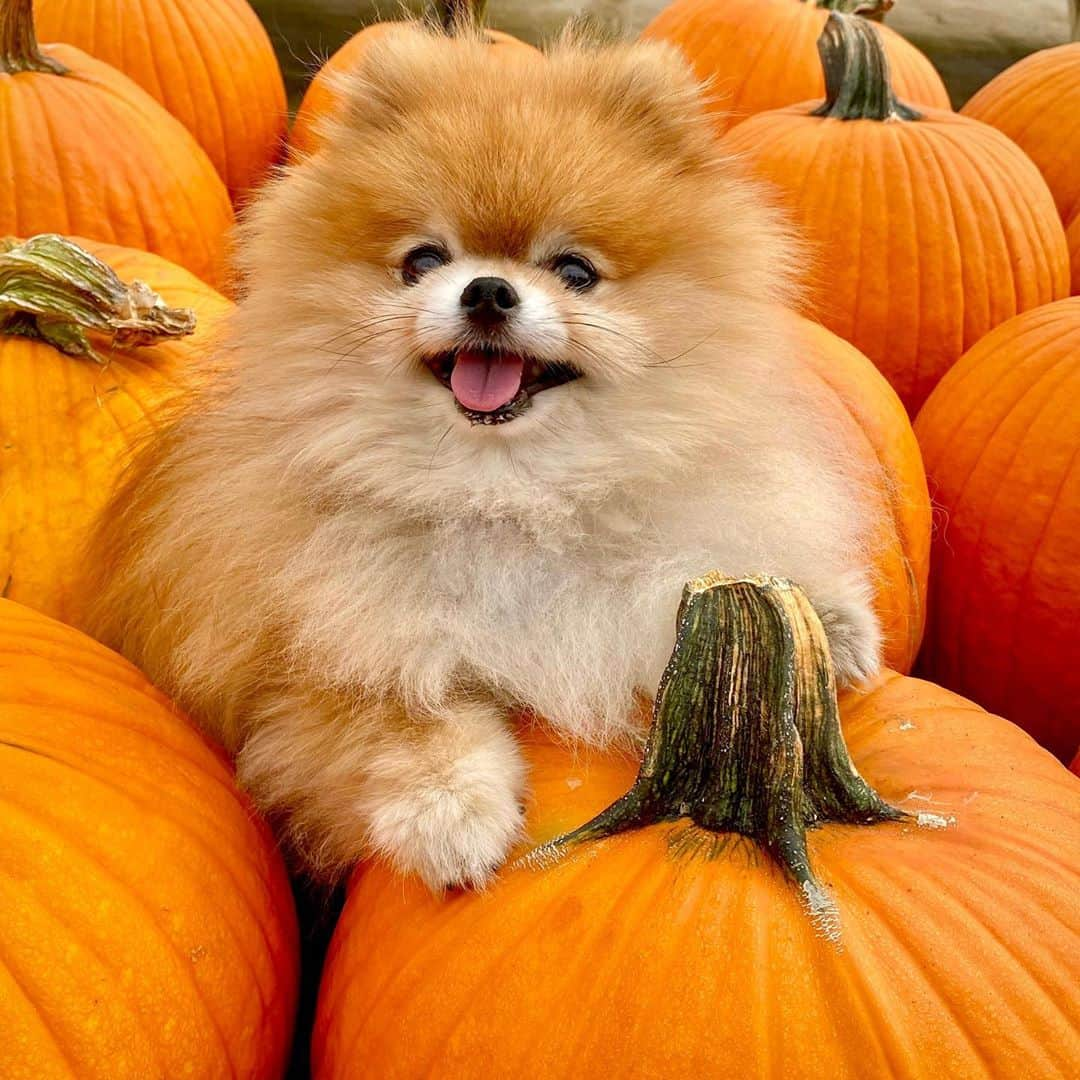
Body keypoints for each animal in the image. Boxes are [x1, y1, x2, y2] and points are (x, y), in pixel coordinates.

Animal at [88, 25, 885, 889]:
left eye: (575, 271)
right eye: (422, 261)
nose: (489, 292)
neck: (506, 492)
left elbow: (728, 588)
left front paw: (827, 621)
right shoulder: (295, 657)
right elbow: (399, 714)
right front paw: (450, 813)